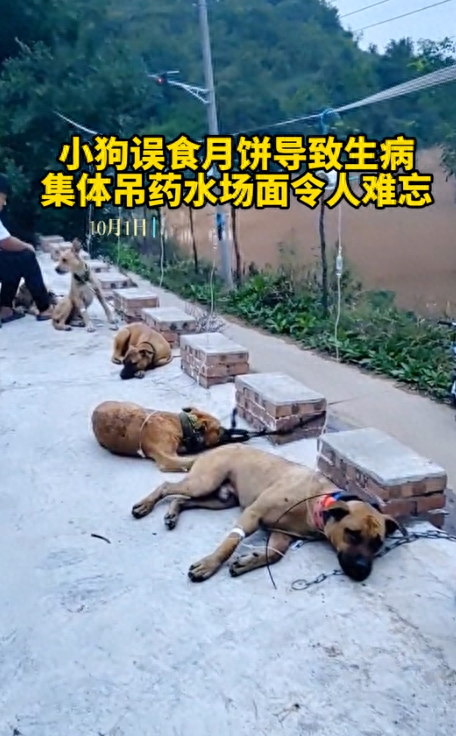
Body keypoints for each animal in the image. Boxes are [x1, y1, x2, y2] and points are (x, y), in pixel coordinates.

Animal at [131, 444, 405, 583]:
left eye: (378, 543)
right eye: (352, 534)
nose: (362, 571)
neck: (316, 502)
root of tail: (215, 448)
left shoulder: (283, 534)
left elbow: (274, 554)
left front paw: (247, 561)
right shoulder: (253, 514)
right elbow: (230, 543)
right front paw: (210, 564)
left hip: (220, 499)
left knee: (181, 499)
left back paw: (172, 514)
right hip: (204, 482)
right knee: (168, 487)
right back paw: (145, 505)